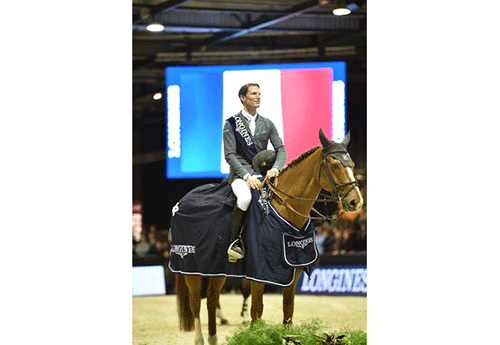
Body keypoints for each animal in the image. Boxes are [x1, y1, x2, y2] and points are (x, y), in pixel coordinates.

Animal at [174, 130, 362, 344]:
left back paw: (214, 337)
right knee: (196, 302)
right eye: (335, 165)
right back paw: (200, 338)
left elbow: (288, 313)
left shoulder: (292, 273)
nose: (355, 202)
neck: (284, 208)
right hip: (192, 268)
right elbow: (256, 312)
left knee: (212, 299)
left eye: (352, 164)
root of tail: (182, 202)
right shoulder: (258, 273)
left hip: (217, 268)